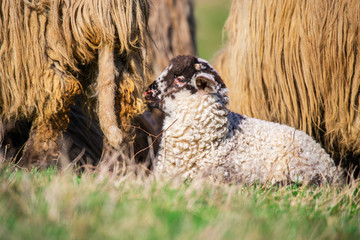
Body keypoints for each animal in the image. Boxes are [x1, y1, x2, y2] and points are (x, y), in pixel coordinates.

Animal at [0, 0, 149, 168]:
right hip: (125, 42)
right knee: (123, 98)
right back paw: (113, 166)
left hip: (44, 32)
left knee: (55, 94)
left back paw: (30, 164)